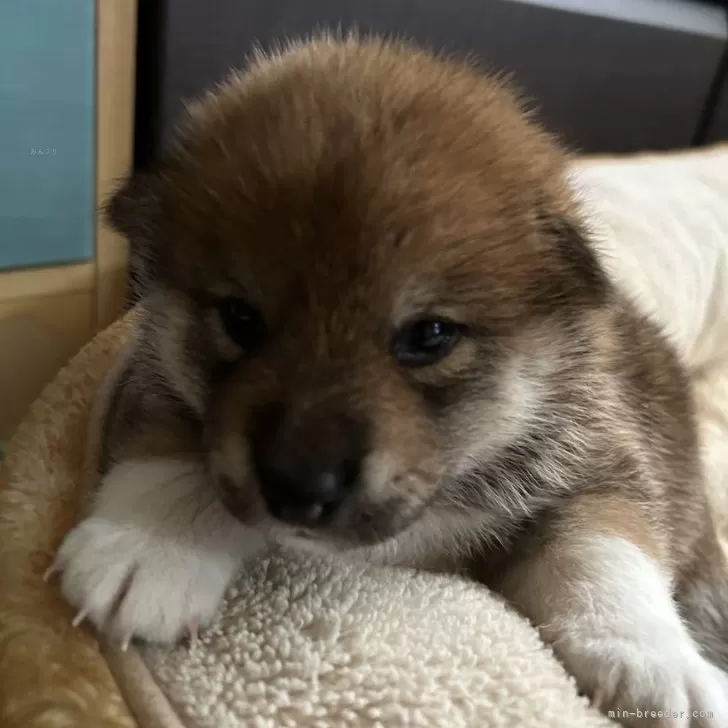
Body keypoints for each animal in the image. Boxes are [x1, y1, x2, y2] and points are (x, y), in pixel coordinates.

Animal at [49, 35, 728, 728]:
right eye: (240, 318)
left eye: (428, 337)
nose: (300, 491)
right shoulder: (158, 378)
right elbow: (174, 447)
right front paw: (154, 543)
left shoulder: (596, 468)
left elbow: (604, 550)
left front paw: (653, 663)